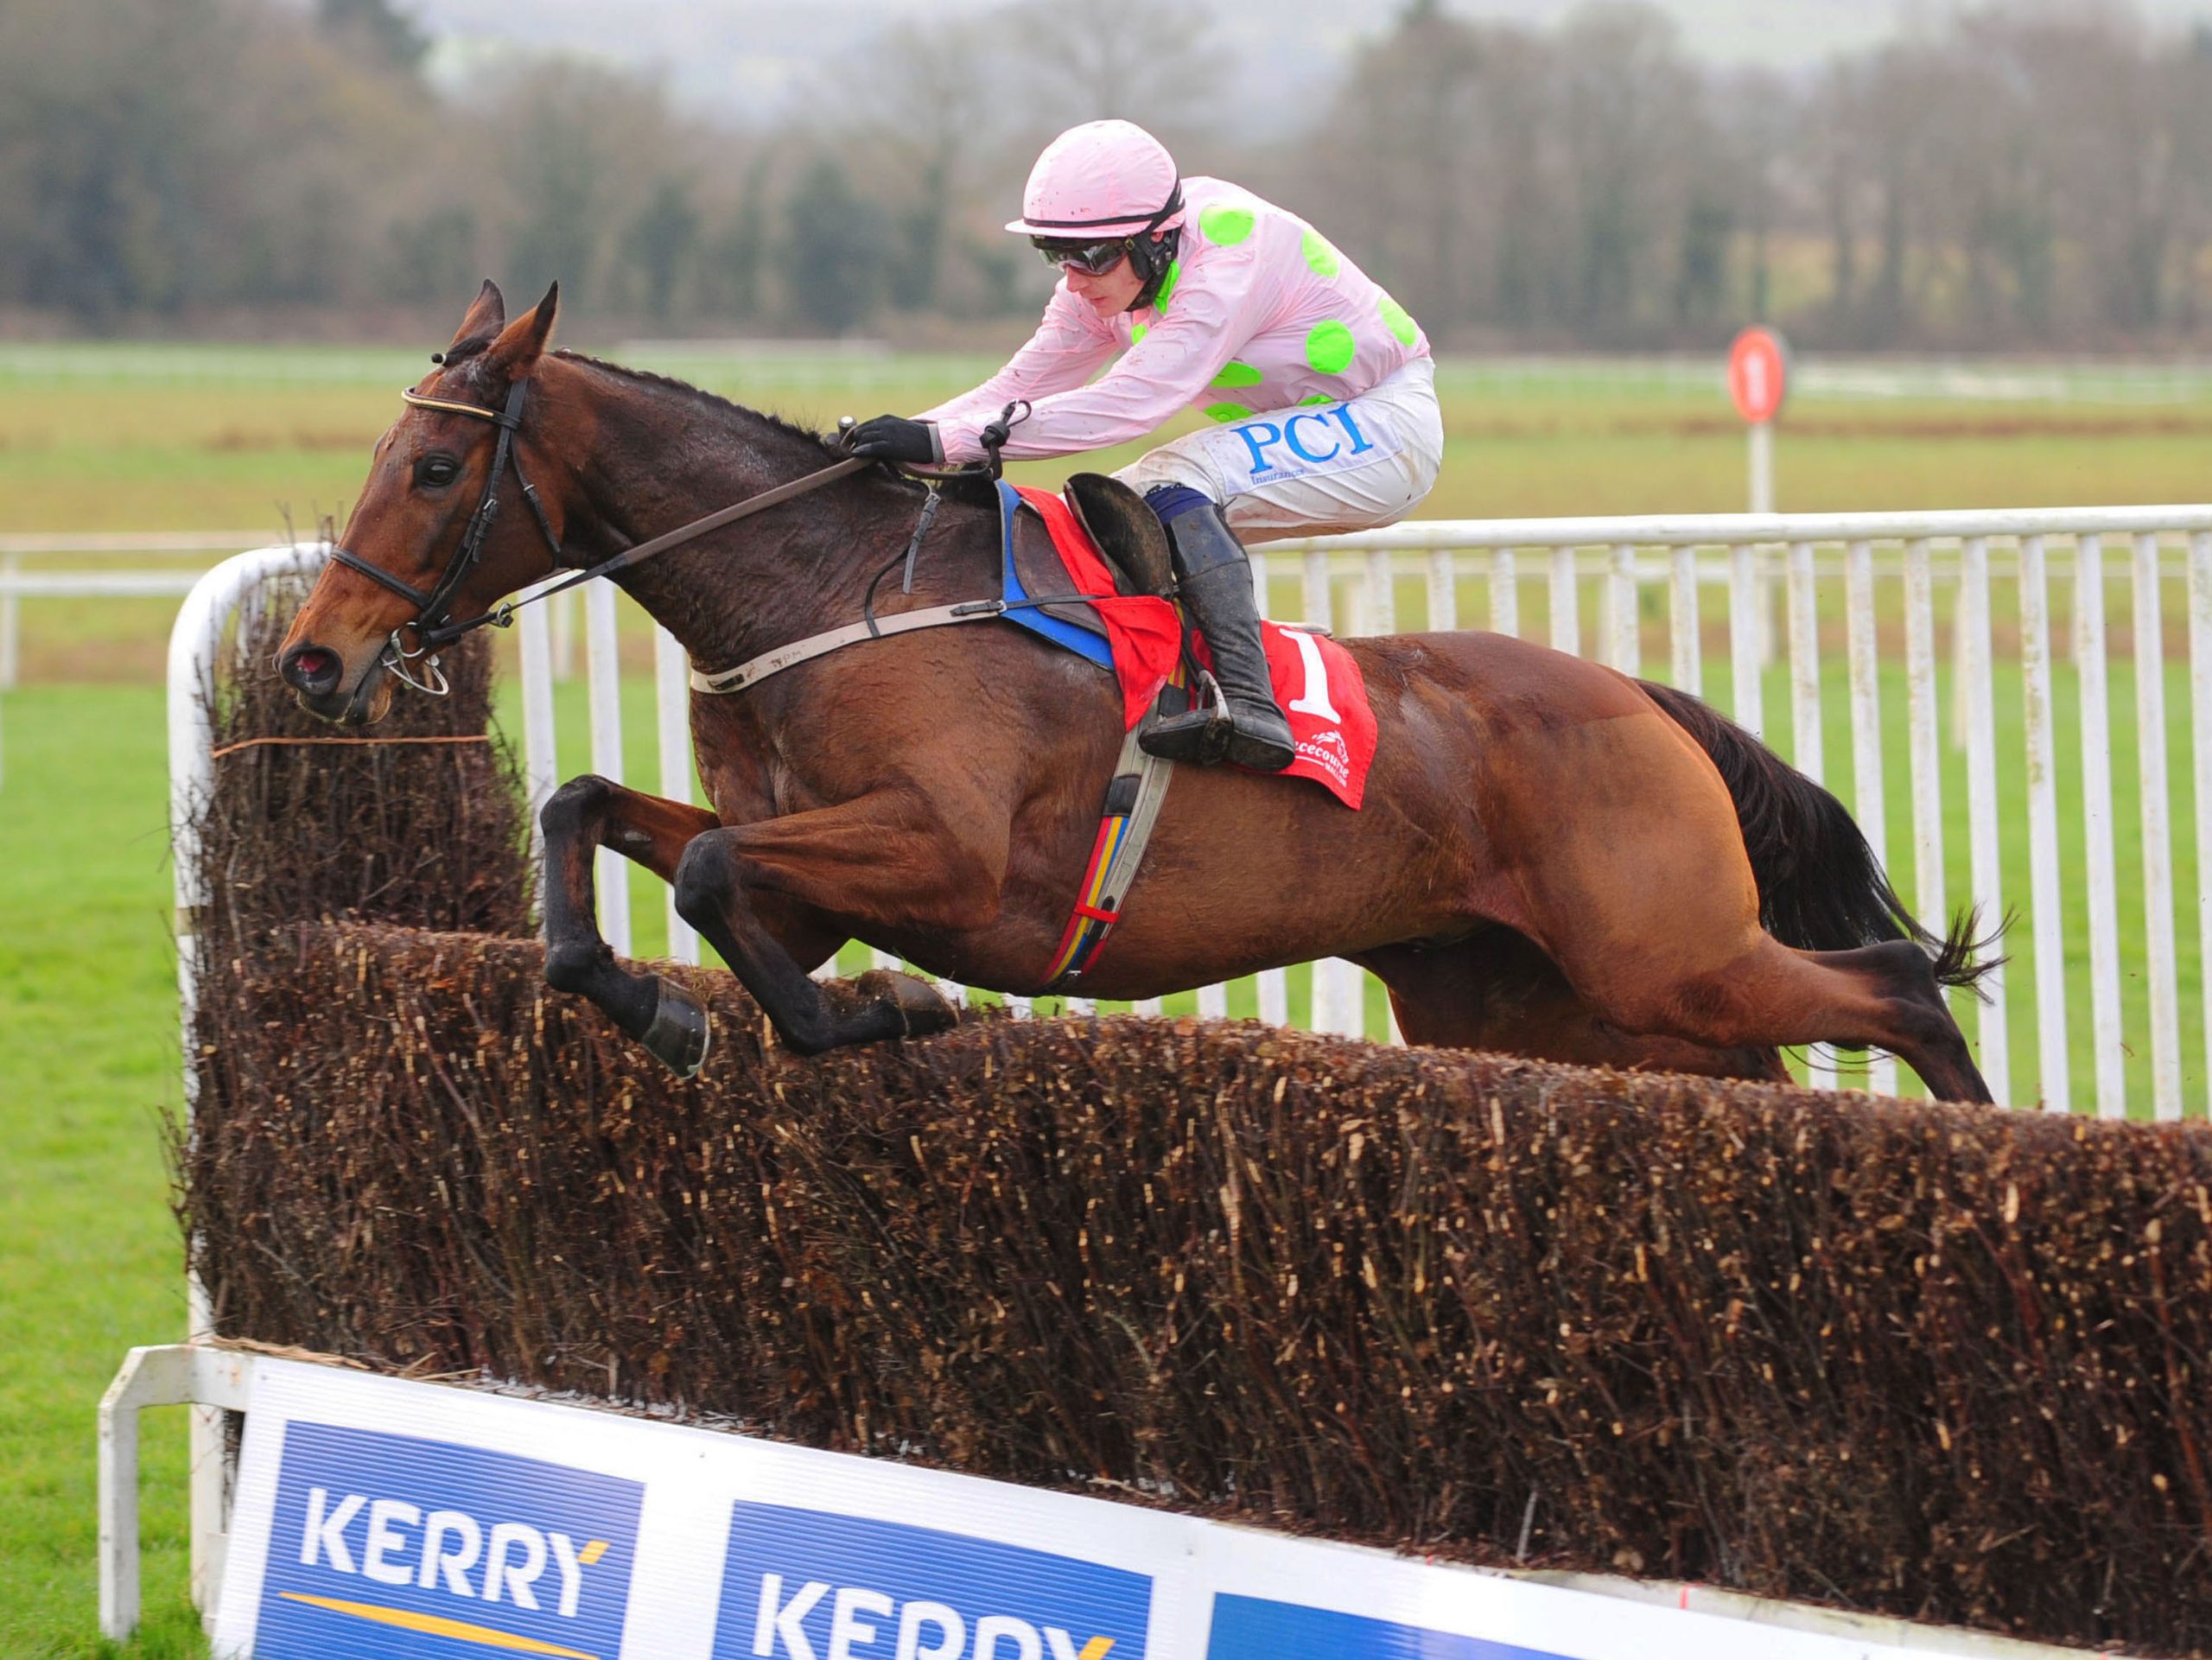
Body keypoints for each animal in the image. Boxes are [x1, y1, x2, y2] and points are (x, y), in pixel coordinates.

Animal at [281, 283, 2008, 1106]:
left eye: (432, 468)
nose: (314, 656)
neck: (832, 595)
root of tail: (1643, 698)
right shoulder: (819, 861)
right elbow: (601, 823)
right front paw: (657, 1006)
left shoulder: (953, 855)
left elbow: (712, 873)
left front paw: (884, 1014)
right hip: (1542, 1000)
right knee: (1770, 1071)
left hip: (1663, 953)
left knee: (1898, 991)